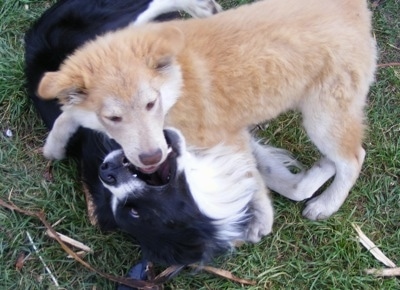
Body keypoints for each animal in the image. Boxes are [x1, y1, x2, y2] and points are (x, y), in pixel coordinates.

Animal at [36, 0, 376, 241]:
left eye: (150, 104)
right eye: (114, 117)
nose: (152, 158)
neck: (175, 87)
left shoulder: (223, 136)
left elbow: (254, 178)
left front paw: (262, 219)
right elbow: (68, 114)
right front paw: (54, 145)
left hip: (322, 117)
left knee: (354, 157)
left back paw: (326, 204)